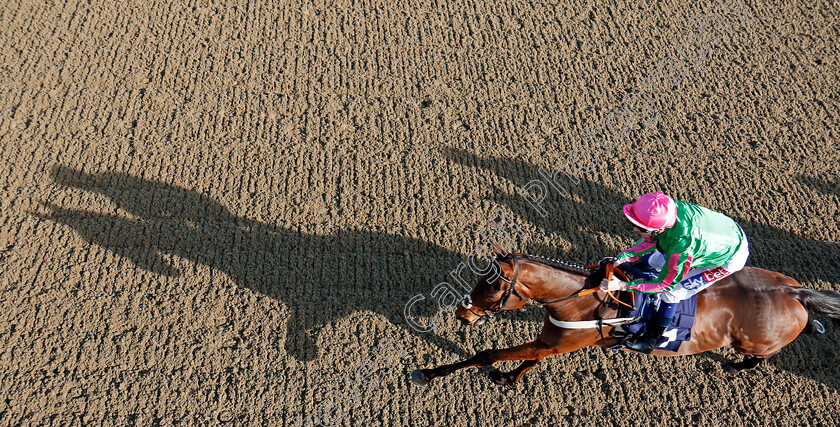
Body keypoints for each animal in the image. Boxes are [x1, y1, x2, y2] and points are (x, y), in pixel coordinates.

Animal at [410, 252, 840, 386]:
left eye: (493, 288)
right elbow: (530, 360)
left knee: (759, 357)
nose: (462, 313)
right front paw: (509, 378)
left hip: (757, 340)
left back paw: (736, 366)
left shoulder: (564, 342)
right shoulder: (553, 341)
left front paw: (428, 372)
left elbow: (486, 354)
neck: (577, 303)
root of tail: (794, 292)